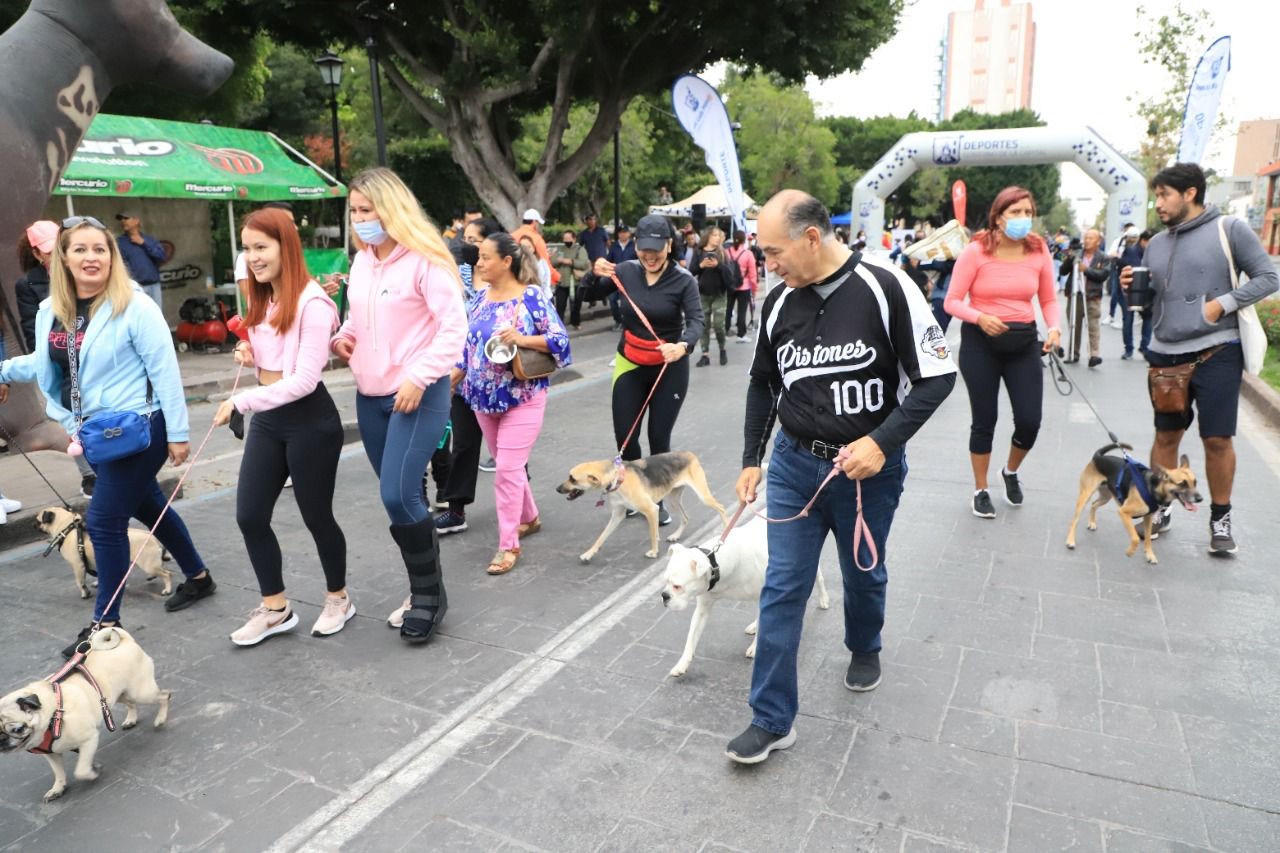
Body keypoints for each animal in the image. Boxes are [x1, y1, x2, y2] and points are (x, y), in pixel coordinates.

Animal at [0, 625, 170, 799]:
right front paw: (58, 788)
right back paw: (131, 719)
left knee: (164, 696)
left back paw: (160, 719)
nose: (2, 740)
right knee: (131, 704)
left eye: (18, 729)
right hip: (118, 695)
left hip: (140, 692)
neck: (52, 715)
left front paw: (92, 774)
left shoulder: (89, 739)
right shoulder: (52, 754)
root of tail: (125, 641)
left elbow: (80, 770)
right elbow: (58, 772)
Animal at [34, 504, 171, 596]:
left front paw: (84, 593)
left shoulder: (78, 565)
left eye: (38, 521)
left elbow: (80, 582)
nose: (33, 525)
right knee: (162, 568)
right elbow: (100, 575)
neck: (66, 528)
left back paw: (167, 590)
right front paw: (98, 584)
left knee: (166, 574)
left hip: (148, 564)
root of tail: (152, 537)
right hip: (151, 562)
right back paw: (152, 577)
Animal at [552, 448, 727, 560]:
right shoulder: (617, 515)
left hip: (703, 496)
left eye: (572, 479)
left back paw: (726, 530)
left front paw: (654, 552)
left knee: (722, 508)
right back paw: (676, 535)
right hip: (673, 499)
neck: (617, 479)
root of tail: (689, 454)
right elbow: (602, 536)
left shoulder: (651, 510)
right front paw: (589, 553)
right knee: (685, 517)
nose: (557, 489)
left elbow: (652, 534)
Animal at [1059, 440, 1198, 560]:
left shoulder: (1148, 518)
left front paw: (1150, 555)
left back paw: (1092, 523)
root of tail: (1098, 457)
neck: (1152, 487)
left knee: (1094, 504)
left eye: (1195, 482)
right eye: (1182, 484)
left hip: (1105, 497)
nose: (1200, 498)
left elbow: (1147, 538)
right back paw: (1070, 541)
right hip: (1086, 495)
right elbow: (1135, 538)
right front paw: (1130, 551)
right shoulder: (1123, 512)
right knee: (1074, 520)